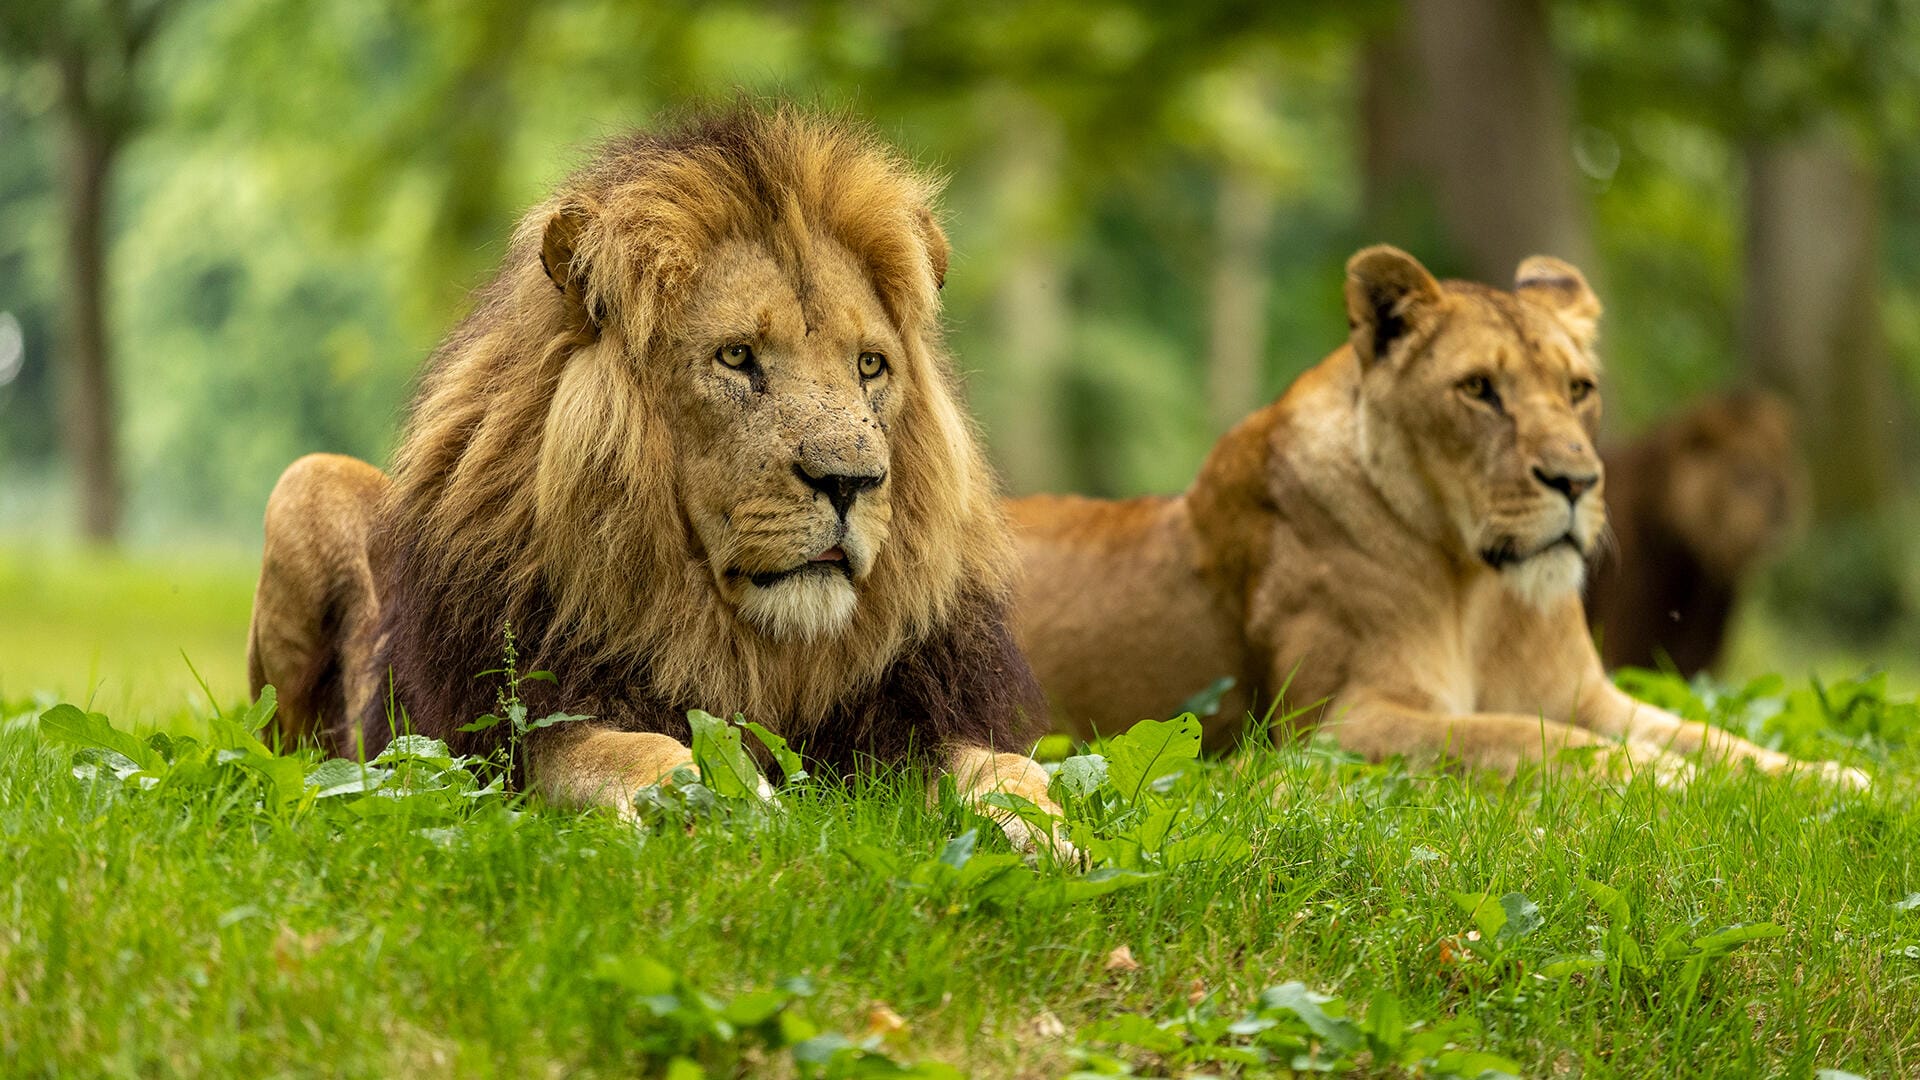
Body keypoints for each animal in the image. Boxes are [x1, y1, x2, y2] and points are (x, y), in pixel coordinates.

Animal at [243, 107, 1067, 841]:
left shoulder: (907, 720)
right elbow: (637, 748)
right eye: (736, 357)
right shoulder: (513, 734)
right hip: (304, 487)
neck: (762, 657)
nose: (850, 482)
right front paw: (727, 802)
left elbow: (1006, 767)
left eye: (870, 366)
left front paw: (1043, 833)